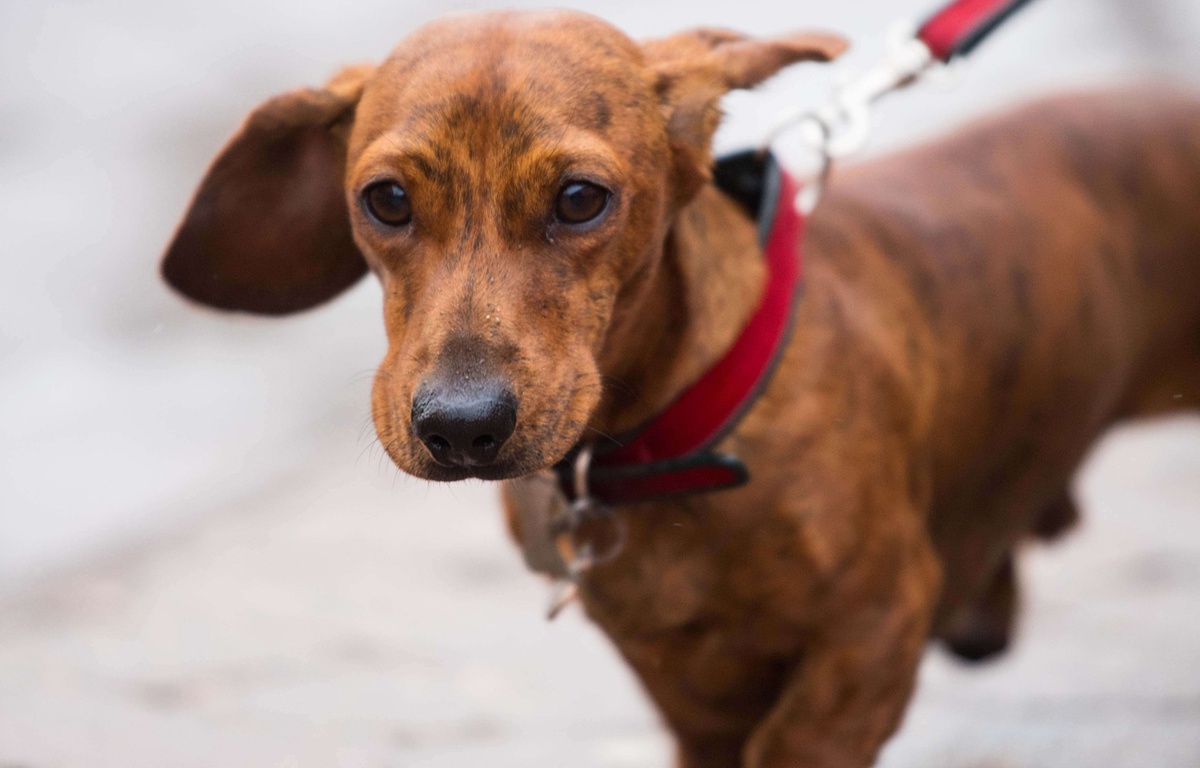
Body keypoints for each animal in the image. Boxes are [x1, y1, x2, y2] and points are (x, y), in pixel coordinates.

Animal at [162, 9, 1200, 763]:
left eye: (581, 198)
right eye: (385, 200)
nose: (461, 427)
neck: (681, 443)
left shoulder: (871, 640)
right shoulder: (687, 696)